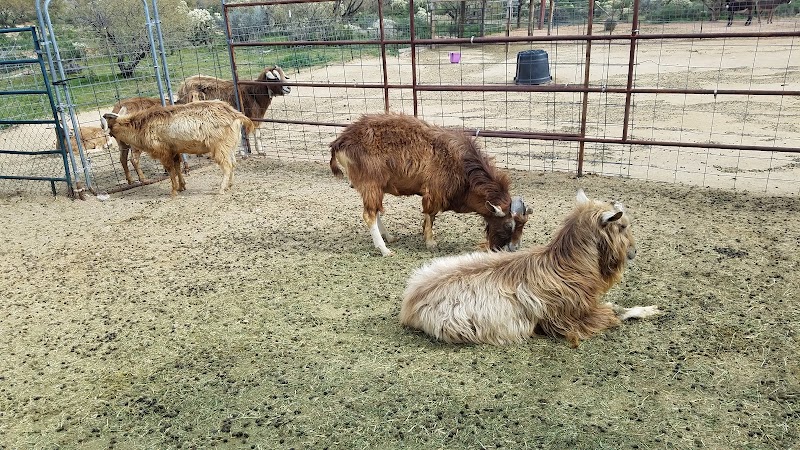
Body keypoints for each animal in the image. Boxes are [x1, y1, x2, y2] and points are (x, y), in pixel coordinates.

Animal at [102, 100, 255, 197]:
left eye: (110, 124)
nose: (109, 135)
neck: (143, 126)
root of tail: (235, 114)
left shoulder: (163, 152)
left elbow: (170, 170)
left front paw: (174, 191)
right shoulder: (174, 151)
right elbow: (177, 167)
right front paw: (182, 186)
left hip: (220, 147)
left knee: (227, 166)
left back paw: (221, 189)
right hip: (230, 146)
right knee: (233, 163)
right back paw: (229, 185)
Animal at [329, 112, 531, 256]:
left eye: (523, 224)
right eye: (509, 225)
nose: (514, 247)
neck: (461, 166)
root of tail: (340, 142)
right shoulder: (434, 192)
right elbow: (430, 215)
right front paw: (430, 242)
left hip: (376, 188)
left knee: (376, 211)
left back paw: (389, 237)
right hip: (371, 184)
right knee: (369, 215)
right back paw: (384, 249)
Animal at [400, 189, 660, 348]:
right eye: (623, 226)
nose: (633, 252)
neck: (566, 265)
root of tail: (409, 305)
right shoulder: (574, 318)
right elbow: (616, 311)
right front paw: (649, 310)